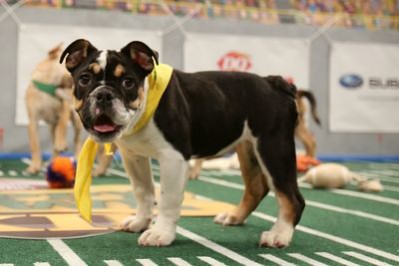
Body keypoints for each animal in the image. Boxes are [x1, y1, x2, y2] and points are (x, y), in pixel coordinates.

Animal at [25, 44, 83, 175]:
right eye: (71, 61)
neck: (48, 88)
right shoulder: (33, 122)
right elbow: (35, 145)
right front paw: (35, 166)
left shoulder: (64, 109)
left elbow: (62, 126)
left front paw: (61, 142)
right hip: (51, 127)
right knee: (54, 143)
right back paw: (52, 161)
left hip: (77, 122)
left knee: (76, 140)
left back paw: (76, 157)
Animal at [60, 39, 306, 247]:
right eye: (84, 79)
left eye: (128, 82)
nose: (103, 94)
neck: (145, 108)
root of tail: (274, 82)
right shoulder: (134, 157)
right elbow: (143, 191)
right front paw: (140, 222)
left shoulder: (173, 159)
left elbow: (167, 198)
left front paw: (160, 233)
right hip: (248, 148)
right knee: (256, 187)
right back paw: (234, 216)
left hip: (273, 148)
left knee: (291, 197)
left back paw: (279, 235)